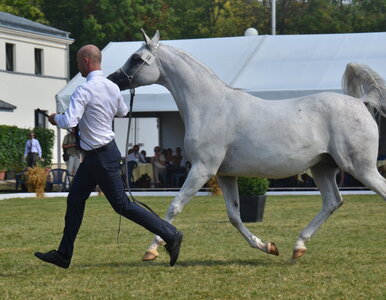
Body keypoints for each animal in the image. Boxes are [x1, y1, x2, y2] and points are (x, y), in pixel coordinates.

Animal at [108, 29, 386, 260]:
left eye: (136, 58)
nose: (113, 79)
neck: (210, 106)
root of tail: (360, 102)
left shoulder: (202, 169)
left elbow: (175, 206)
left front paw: (152, 250)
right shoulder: (224, 175)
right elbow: (234, 216)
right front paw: (267, 246)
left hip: (359, 168)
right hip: (322, 168)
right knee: (332, 202)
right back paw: (298, 246)